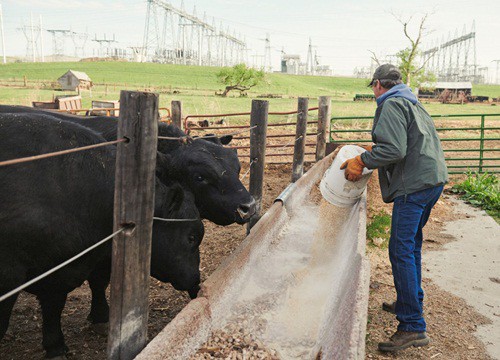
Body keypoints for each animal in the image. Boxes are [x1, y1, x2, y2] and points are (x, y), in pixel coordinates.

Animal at [0, 114, 203, 358]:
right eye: (191, 238)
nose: (196, 281)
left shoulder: (62, 268)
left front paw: (56, 344)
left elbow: (55, 304)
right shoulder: (10, 274)